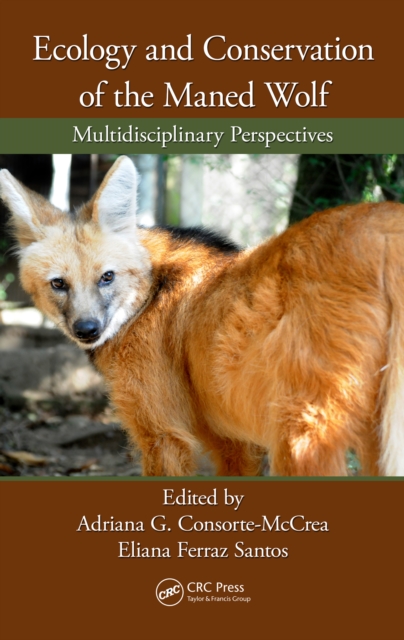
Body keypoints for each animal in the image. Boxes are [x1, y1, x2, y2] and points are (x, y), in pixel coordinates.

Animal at [0, 156, 403, 476]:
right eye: (59, 283)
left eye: (107, 277)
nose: (87, 329)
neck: (148, 293)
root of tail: (386, 227)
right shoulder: (230, 440)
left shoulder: (163, 434)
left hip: (301, 433)